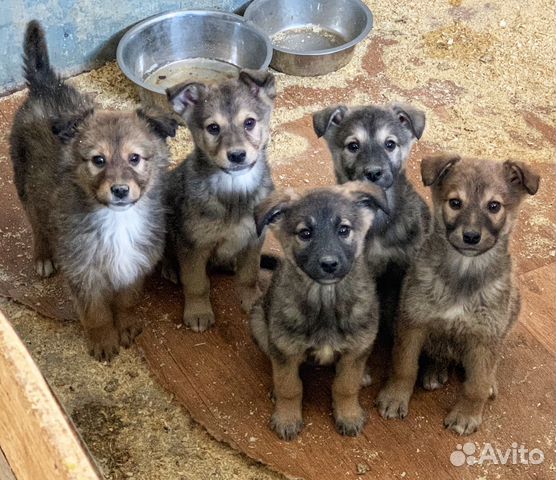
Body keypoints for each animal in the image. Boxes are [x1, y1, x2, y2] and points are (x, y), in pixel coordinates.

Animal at [9, 22, 177, 360]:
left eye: (134, 158)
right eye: (98, 160)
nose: (120, 191)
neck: (117, 220)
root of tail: (45, 87)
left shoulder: (133, 264)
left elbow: (126, 301)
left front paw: (126, 326)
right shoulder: (83, 272)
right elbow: (96, 313)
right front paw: (103, 342)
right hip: (25, 188)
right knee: (37, 224)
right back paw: (43, 257)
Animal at [163, 69, 276, 330]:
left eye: (249, 123)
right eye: (213, 128)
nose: (236, 155)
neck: (234, 190)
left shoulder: (254, 239)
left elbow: (249, 275)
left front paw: (250, 299)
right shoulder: (193, 246)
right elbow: (196, 284)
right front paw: (198, 312)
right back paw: (170, 269)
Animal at [250, 182, 388, 440]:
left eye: (344, 230)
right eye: (305, 233)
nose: (329, 264)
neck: (326, 302)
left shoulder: (355, 350)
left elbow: (345, 386)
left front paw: (348, 415)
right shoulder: (285, 350)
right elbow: (289, 387)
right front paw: (287, 418)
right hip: (257, 322)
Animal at [376, 154, 540, 436]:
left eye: (494, 206)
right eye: (455, 203)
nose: (471, 236)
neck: (464, 272)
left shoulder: (484, 337)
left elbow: (476, 385)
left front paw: (466, 415)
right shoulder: (413, 323)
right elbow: (404, 366)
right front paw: (395, 397)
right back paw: (435, 370)